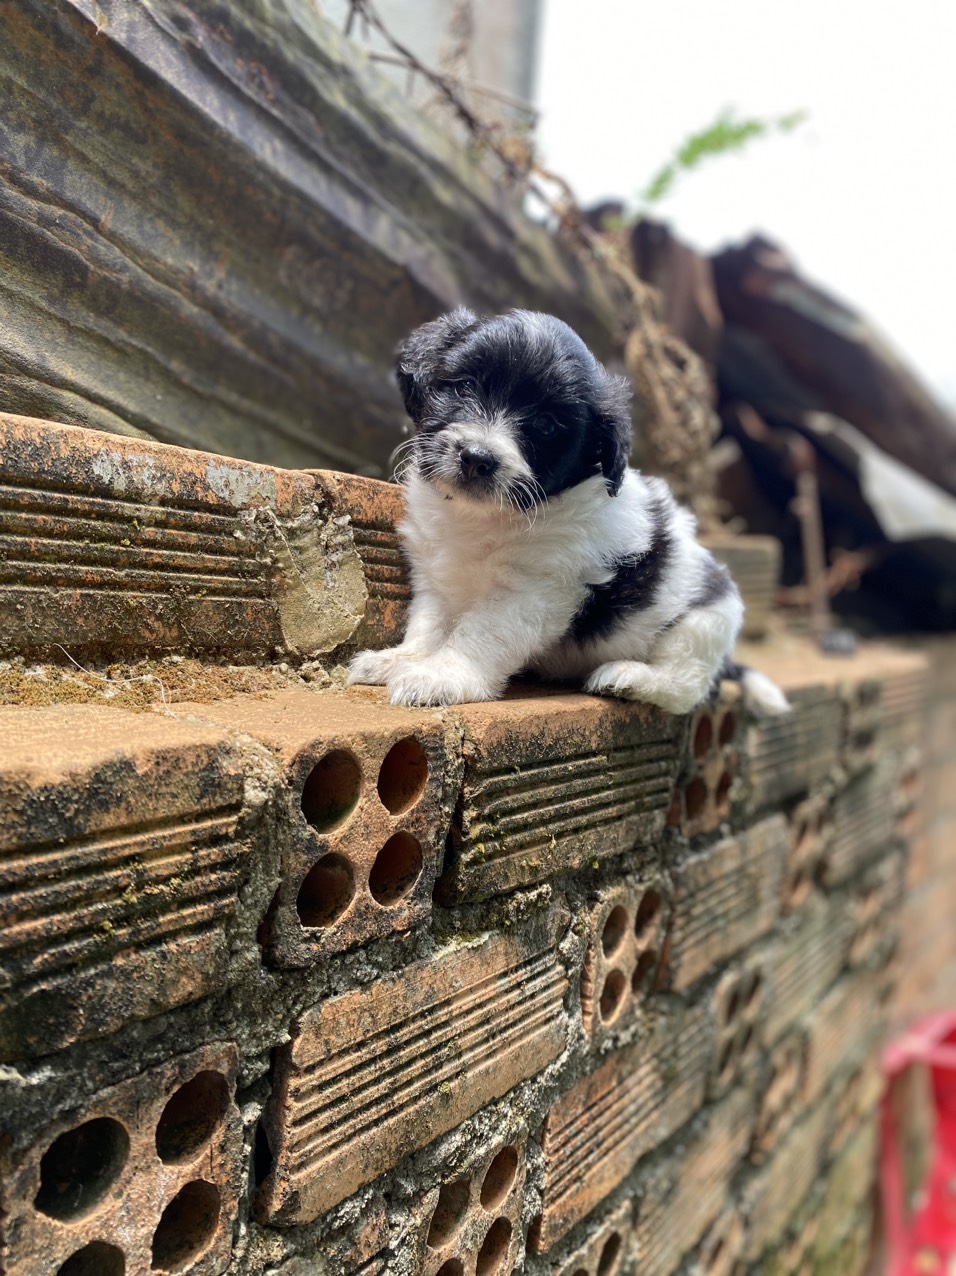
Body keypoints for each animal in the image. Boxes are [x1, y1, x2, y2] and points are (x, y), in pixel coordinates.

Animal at [348, 307, 789, 717]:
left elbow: (481, 634)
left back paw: (628, 677)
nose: (477, 458)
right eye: (466, 386)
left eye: (546, 425)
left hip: (703, 624)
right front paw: (401, 660)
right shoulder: (436, 576)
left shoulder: (532, 590)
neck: (484, 517)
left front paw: (442, 677)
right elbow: (428, 624)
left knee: (685, 687)